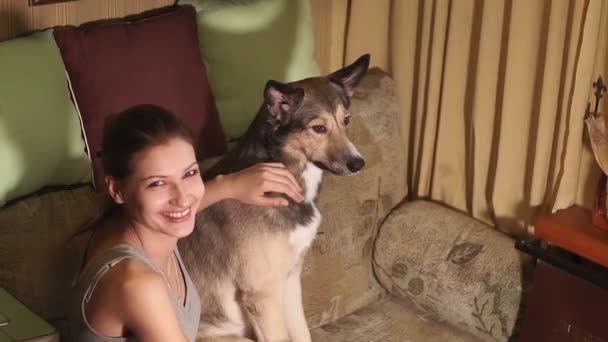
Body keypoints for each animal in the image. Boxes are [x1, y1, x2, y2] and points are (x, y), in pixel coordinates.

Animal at [179, 54, 370, 340]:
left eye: (346, 120)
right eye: (318, 128)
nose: (358, 164)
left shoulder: (289, 280)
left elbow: (301, 332)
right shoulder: (262, 295)